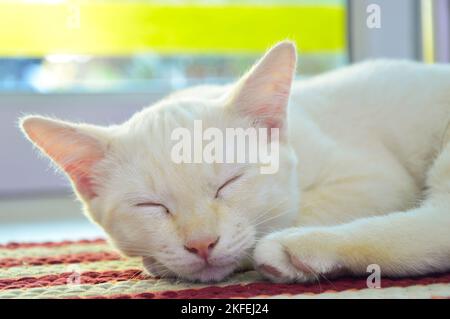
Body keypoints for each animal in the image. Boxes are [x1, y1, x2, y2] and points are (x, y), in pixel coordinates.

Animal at [20, 41, 450, 284]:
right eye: (151, 206)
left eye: (228, 184)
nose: (201, 244)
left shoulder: (373, 180)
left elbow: (293, 212)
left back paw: (297, 250)